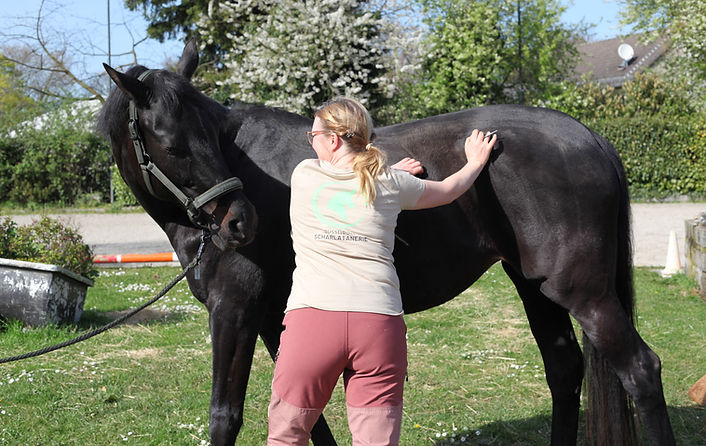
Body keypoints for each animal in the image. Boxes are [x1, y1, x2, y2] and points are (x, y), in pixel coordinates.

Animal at [97, 39, 675, 446]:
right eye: (173, 144)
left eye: (209, 139)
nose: (240, 222)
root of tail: (590, 137)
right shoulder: (273, 317)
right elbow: (305, 413)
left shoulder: (234, 310)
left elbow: (226, 417)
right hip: (535, 287)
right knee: (564, 369)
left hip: (586, 294)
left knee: (641, 372)